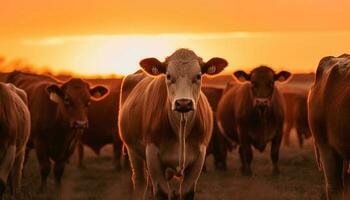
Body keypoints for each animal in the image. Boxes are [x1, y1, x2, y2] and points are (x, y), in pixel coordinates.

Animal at [119, 48, 228, 200]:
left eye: (198, 76)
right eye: (169, 76)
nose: (183, 103)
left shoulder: (199, 156)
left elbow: (186, 192)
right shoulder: (152, 153)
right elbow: (161, 192)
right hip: (132, 150)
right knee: (140, 181)